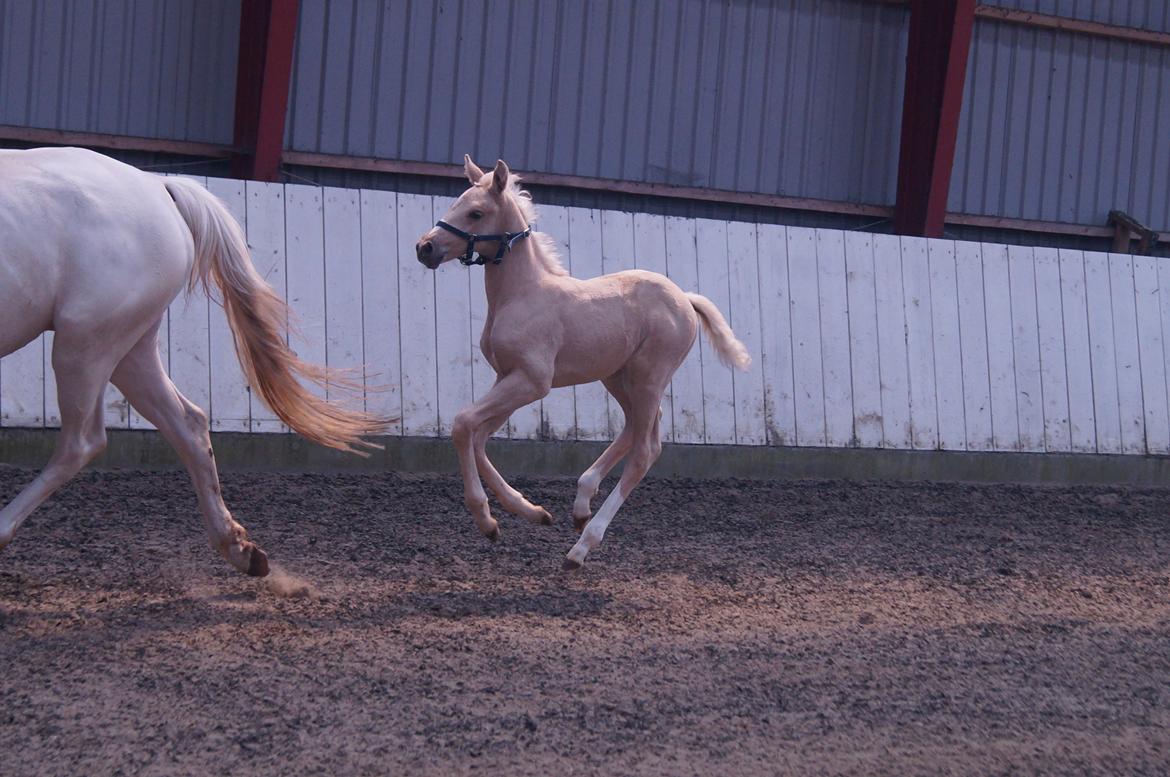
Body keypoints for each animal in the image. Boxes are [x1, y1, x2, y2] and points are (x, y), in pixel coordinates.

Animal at [0, 147, 388, 575]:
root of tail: (157, 186)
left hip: (84, 343)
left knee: (82, 442)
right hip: (126, 348)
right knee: (189, 424)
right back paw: (243, 551)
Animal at [418, 156, 748, 571]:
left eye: (476, 212)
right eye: (455, 203)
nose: (425, 247)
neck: (520, 295)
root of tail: (686, 299)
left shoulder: (532, 381)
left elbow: (463, 425)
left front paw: (486, 520)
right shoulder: (506, 377)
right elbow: (477, 436)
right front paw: (531, 513)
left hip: (648, 378)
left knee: (646, 450)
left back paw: (581, 547)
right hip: (618, 378)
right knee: (635, 428)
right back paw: (580, 506)